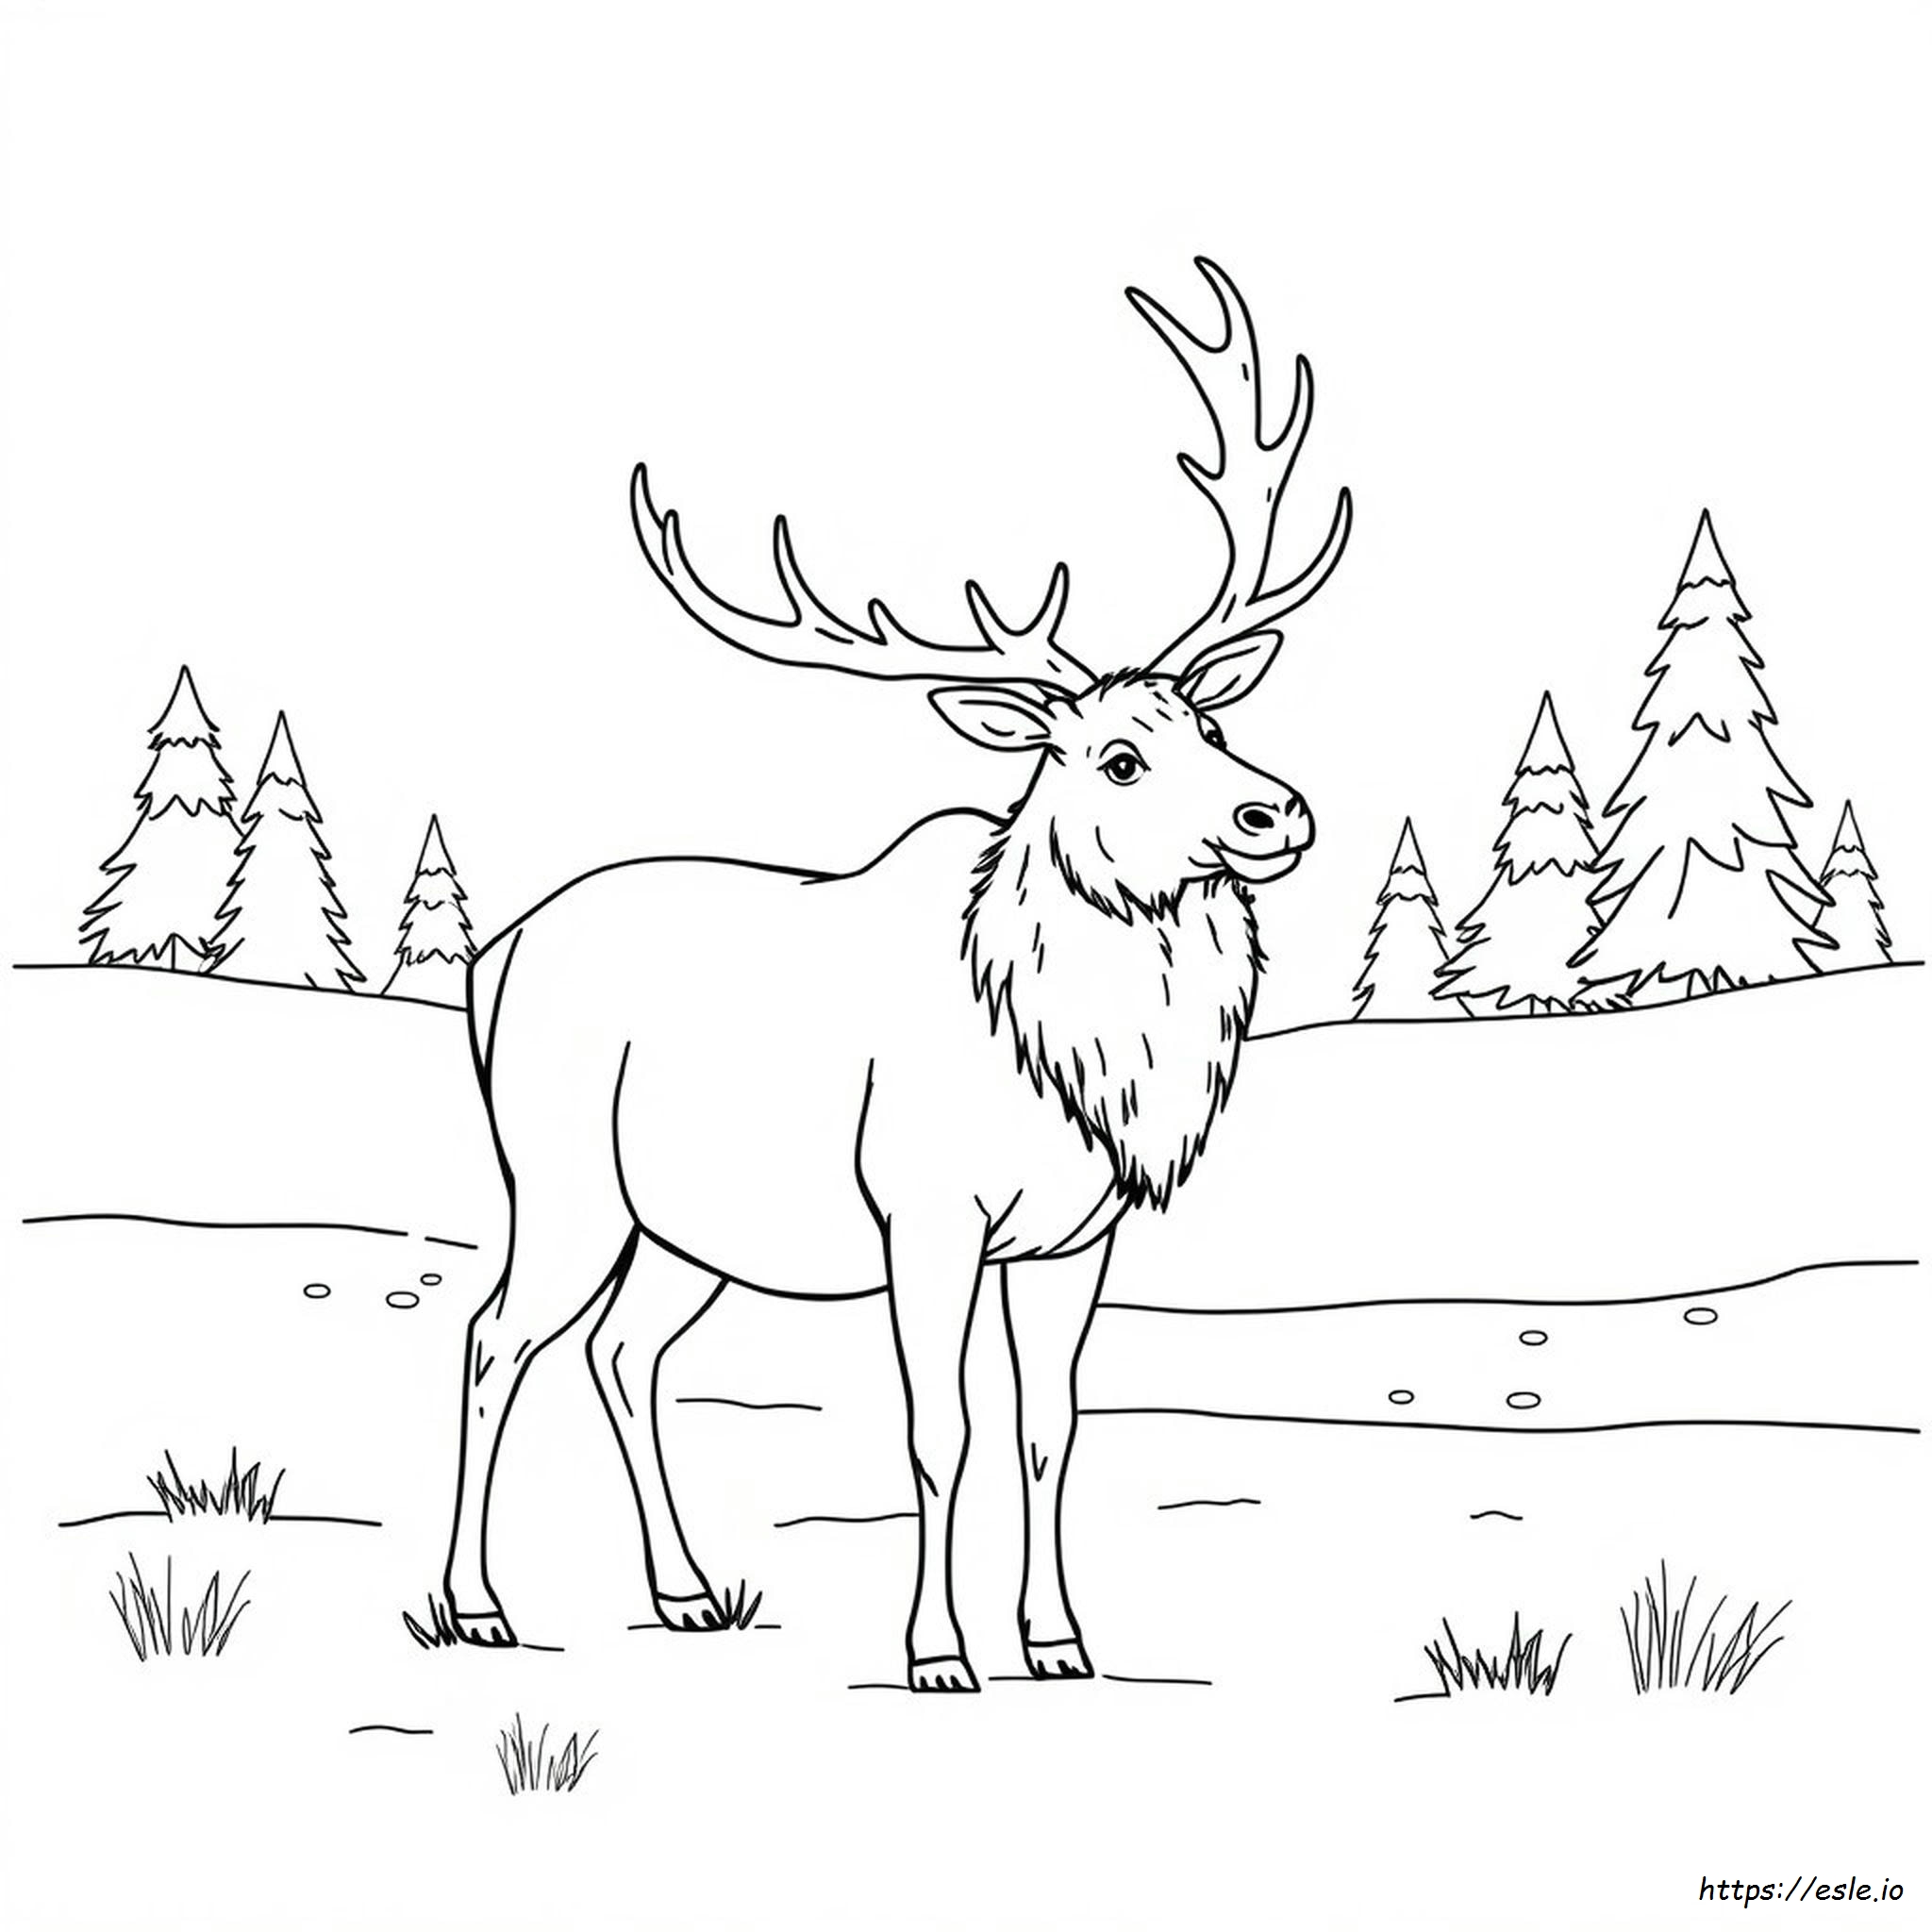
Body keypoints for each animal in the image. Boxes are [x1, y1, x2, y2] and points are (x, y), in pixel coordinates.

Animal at [442, 260, 1351, 1691]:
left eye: (1211, 721)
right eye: (1117, 759)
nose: (1278, 813)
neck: (1081, 1063)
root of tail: (497, 957)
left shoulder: (1072, 1239)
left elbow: (1049, 1426)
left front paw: (1058, 1638)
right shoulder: (925, 1214)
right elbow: (942, 1431)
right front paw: (938, 1652)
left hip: (688, 1223)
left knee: (624, 1351)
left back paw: (688, 1590)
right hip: (562, 1179)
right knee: (494, 1338)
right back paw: (477, 1604)